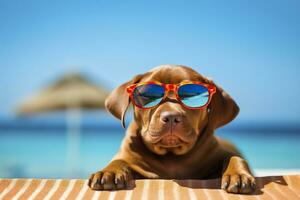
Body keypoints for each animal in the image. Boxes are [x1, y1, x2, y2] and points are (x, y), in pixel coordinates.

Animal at [87, 65, 255, 193]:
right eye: (147, 94)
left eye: (190, 96)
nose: (172, 117)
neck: (171, 156)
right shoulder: (130, 157)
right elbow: (119, 161)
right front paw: (109, 172)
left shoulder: (218, 154)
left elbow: (234, 158)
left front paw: (238, 175)